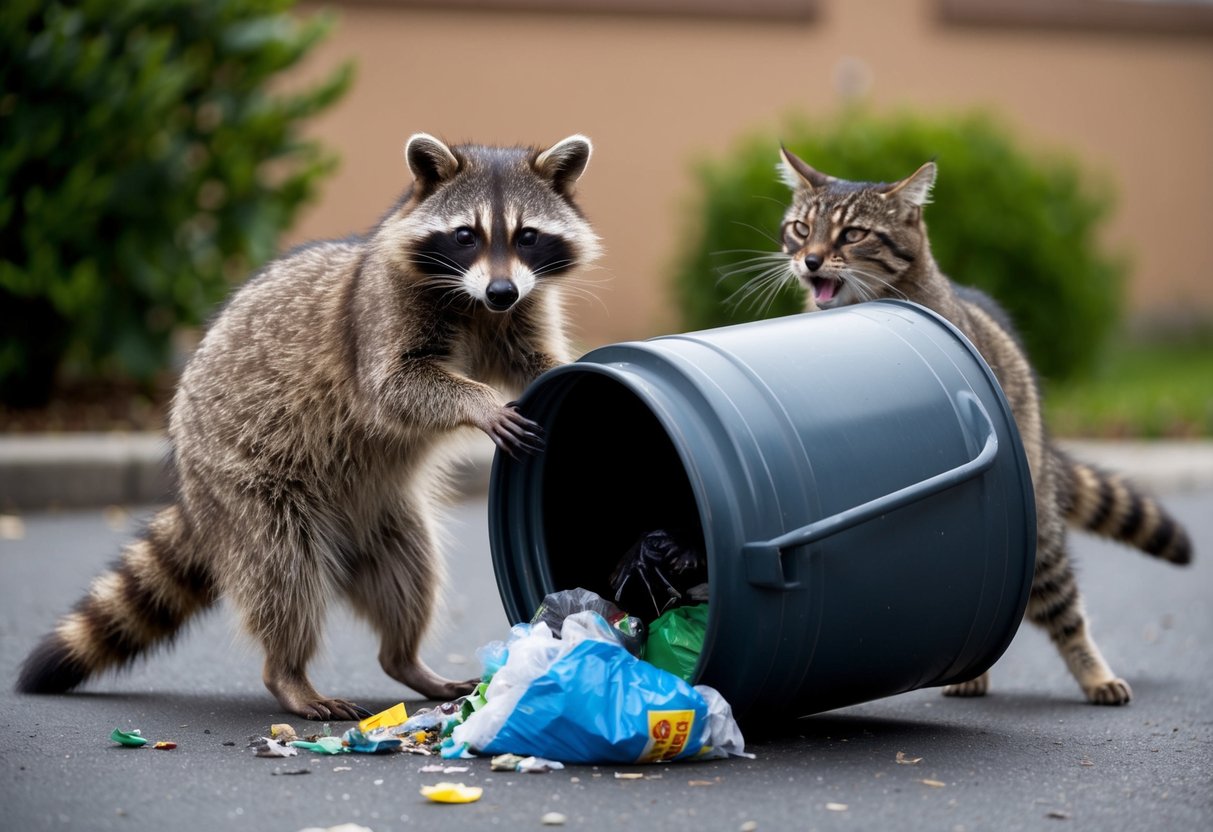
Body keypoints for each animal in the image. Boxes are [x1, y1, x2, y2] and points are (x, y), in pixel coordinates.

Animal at [16, 133, 603, 719]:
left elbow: (534, 359)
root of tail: (190, 490)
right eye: (465, 236)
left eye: (528, 236)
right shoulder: (381, 312)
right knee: (284, 579)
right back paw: (288, 672)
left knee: (409, 577)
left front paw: (568, 372)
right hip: (248, 489)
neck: (476, 304)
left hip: (383, 516)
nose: (501, 290)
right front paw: (480, 402)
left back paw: (404, 658)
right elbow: (394, 387)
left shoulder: (524, 307)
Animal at [761, 146, 1192, 704]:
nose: (809, 259)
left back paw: (1091, 669)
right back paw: (972, 671)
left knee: (1059, 603)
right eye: (801, 228)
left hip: (1039, 521)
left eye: (852, 234)